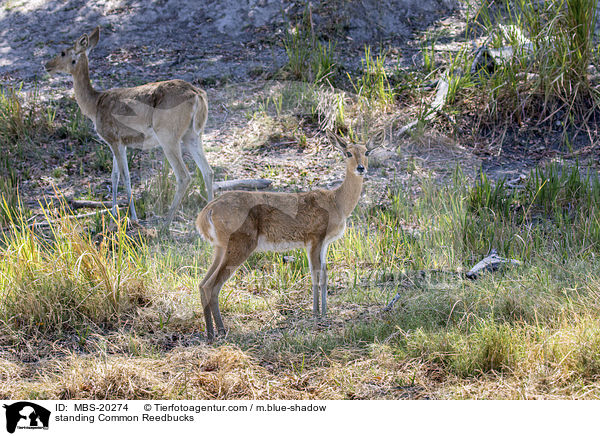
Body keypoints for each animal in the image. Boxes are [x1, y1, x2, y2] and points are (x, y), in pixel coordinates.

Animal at [45, 26, 212, 232]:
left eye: (62, 52)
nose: (47, 65)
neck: (94, 105)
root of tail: (198, 95)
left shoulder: (113, 138)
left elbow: (125, 177)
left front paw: (132, 217)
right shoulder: (120, 142)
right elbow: (114, 176)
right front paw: (115, 215)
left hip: (168, 134)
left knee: (184, 176)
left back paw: (165, 224)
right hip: (193, 134)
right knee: (207, 171)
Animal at [195, 131, 378, 342]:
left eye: (366, 152)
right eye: (348, 153)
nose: (361, 167)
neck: (336, 203)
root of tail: (206, 213)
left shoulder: (324, 243)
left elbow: (324, 274)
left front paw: (324, 312)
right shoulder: (314, 237)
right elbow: (315, 275)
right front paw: (316, 314)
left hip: (220, 247)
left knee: (203, 283)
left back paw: (211, 333)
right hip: (241, 243)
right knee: (213, 285)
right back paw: (220, 332)